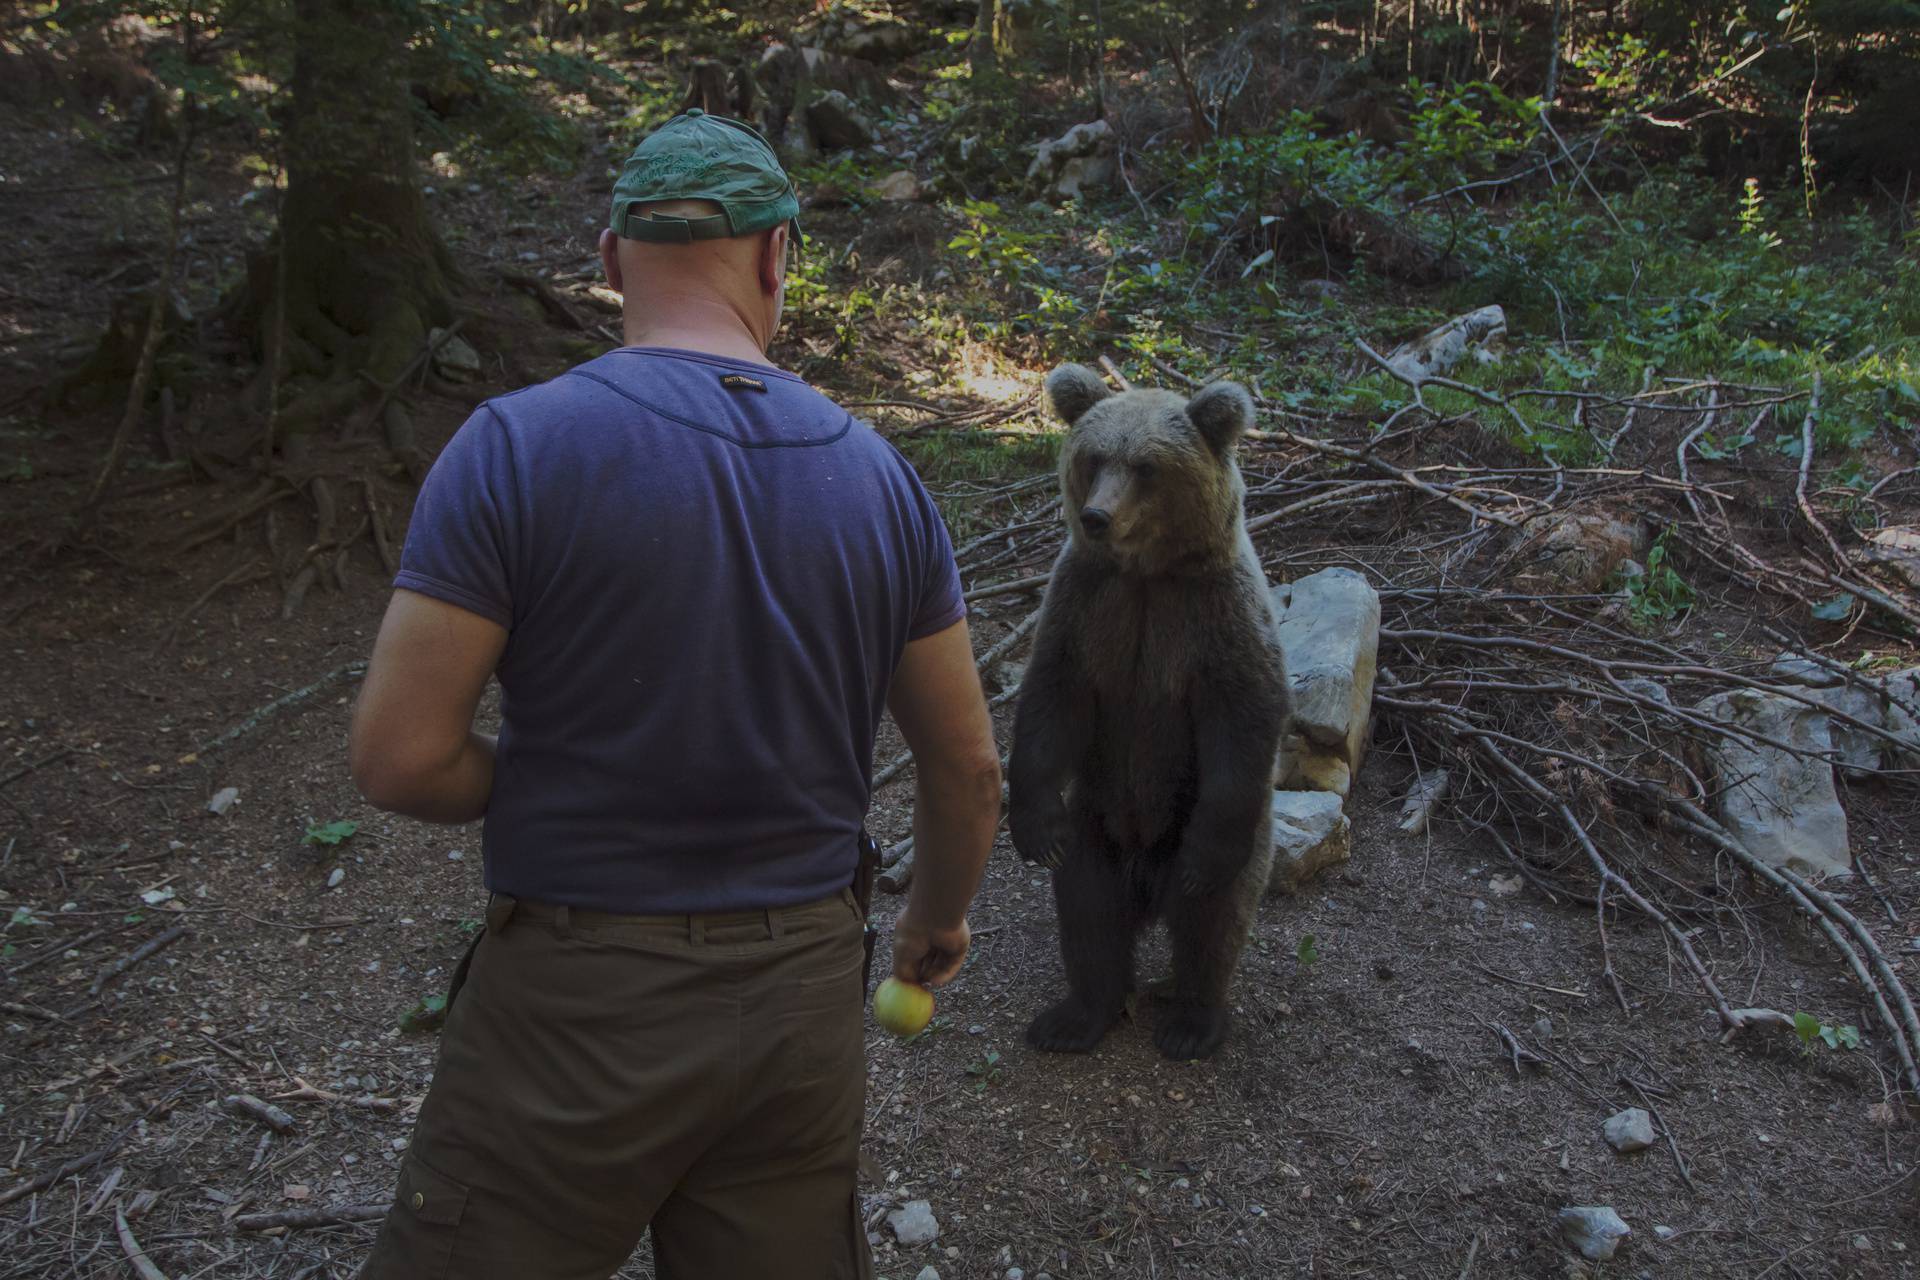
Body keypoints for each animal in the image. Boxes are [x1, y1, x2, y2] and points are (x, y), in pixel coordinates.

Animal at [1006, 362, 1290, 1059]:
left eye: (1147, 466)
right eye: (1094, 456)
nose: (1097, 516)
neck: (1146, 574)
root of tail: (1147, 884)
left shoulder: (1213, 613)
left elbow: (1246, 709)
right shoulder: (1087, 605)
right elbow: (1051, 700)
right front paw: (1034, 831)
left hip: (1205, 832)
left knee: (1211, 921)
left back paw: (1192, 1020)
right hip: (1097, 822)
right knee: (1088, 911)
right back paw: (1078, 1015)